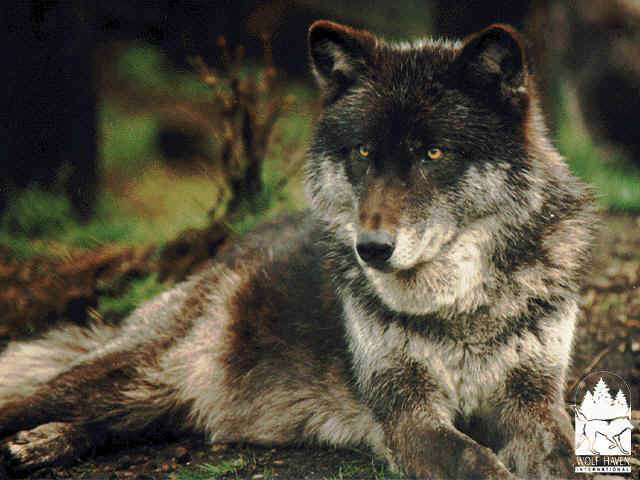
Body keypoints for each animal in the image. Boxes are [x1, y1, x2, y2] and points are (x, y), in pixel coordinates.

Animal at [0, 21, 595, 479]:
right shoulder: (408, 413)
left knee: (105, 425)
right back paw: (32, 439)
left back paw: (39, 444)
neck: (460, 311)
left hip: (153, 400)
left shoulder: (535, 401)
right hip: (124, 373)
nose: (371, 249)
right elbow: (476, 461)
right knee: (26, 401)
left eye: (433, 153)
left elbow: (564, 457)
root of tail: (223, 255)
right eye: (363, 153)